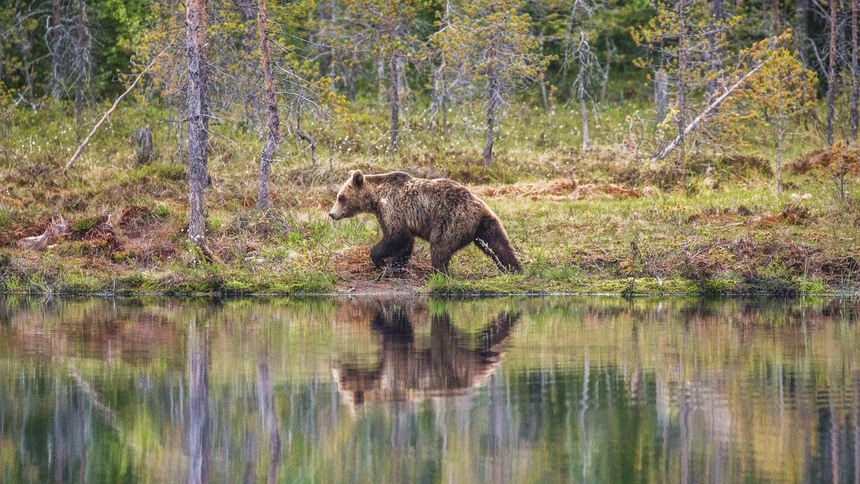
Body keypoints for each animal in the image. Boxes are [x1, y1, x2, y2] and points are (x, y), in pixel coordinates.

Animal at [328, 170, 521, 275]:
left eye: (341, 197)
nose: (331, 214)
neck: (376, 199)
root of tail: (478, 207)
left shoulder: (392, 209)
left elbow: (396, 236)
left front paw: (381, 261)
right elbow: (406, 242)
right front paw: (396, 264)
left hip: (451, 219)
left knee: (440, 246)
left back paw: (438, 273)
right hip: (488, 224)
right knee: (499, 246)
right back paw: (515, 269)